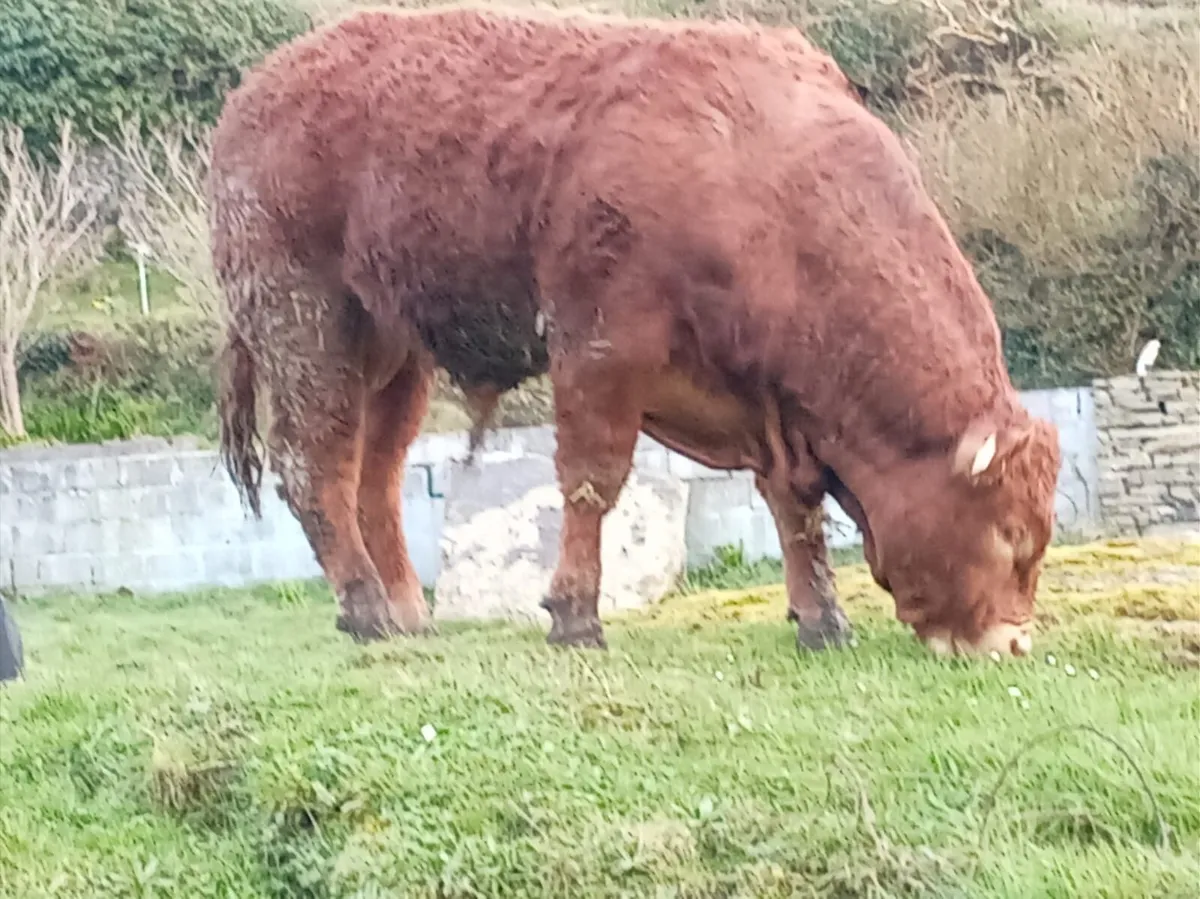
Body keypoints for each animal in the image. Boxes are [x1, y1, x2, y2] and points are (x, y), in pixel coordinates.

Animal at [209, 5, 1061, 658]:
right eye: (1010, 532)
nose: (1013, 642)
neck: (761, 183)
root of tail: (260, 88)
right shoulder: (601, 348)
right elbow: (593, 480)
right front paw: (576, 617)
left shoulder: (770, 405)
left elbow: (796, 507)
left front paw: (821, 619)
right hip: (308, 327)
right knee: (314, 467)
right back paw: (366, 608)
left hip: (395, 356)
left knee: (375, 478)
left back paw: (409, 610)